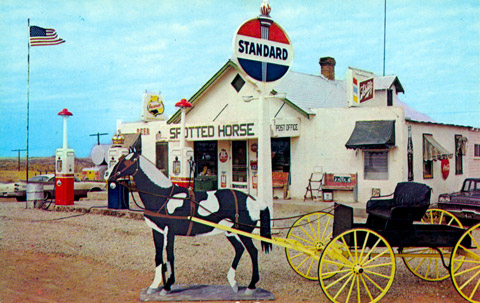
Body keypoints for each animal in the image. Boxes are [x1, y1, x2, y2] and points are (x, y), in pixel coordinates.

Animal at [106, 150, 272, 296]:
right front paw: (154, 286)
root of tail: (255, 200)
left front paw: (167, 286)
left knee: (253, 252)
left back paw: (251, 287)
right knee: (240, 249)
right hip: (230, 232)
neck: (163, 196)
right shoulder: (157, 231)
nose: (107, 174)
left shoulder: (170, 231)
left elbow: (170, 257)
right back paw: (234, 283)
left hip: (244, 233)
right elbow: (158, 257)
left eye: (125, 161)